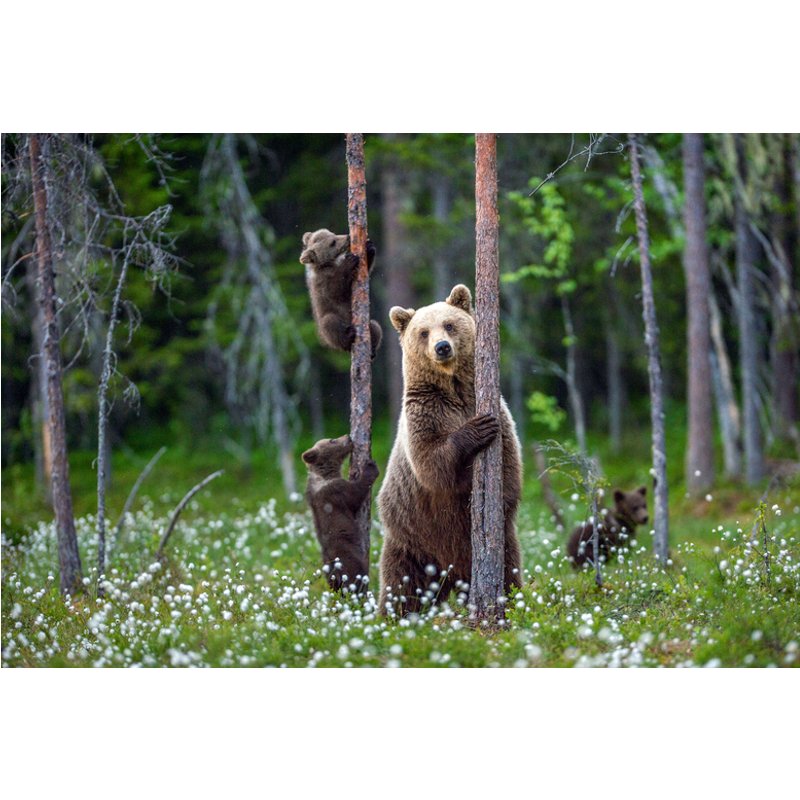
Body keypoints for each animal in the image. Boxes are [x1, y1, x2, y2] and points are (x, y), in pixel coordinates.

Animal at [299, 228, 382, 358]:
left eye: (332, 233)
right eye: (332, 242)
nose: (348, 237)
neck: (329, 264)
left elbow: (365, 271)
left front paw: (369, 247)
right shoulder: (322, 283)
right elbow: (335, 291)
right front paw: (349, 261)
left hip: (369, 324)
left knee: (375, 326)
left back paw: (372, 349)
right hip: (327, 326)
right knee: (330, 323)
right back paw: (349, 335)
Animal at [302, 434, 379, 593]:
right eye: (332, 440)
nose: (348, 436)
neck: (325, 474)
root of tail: (335, 573)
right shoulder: (336, 491)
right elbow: (355, 494)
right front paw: (370, 466)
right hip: (349, 558)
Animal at [376, 284, 523, 616]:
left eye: (449, 324)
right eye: (423, 332)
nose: (442, 347)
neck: (453, 389)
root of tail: (452, 573)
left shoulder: (497, 411)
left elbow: (509, 466)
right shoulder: (424, 414)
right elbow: (432, 464)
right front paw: (477, 429)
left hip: (500, 545)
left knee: (509, 570)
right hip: (412, 539)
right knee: (402, 586)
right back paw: (391, 618)